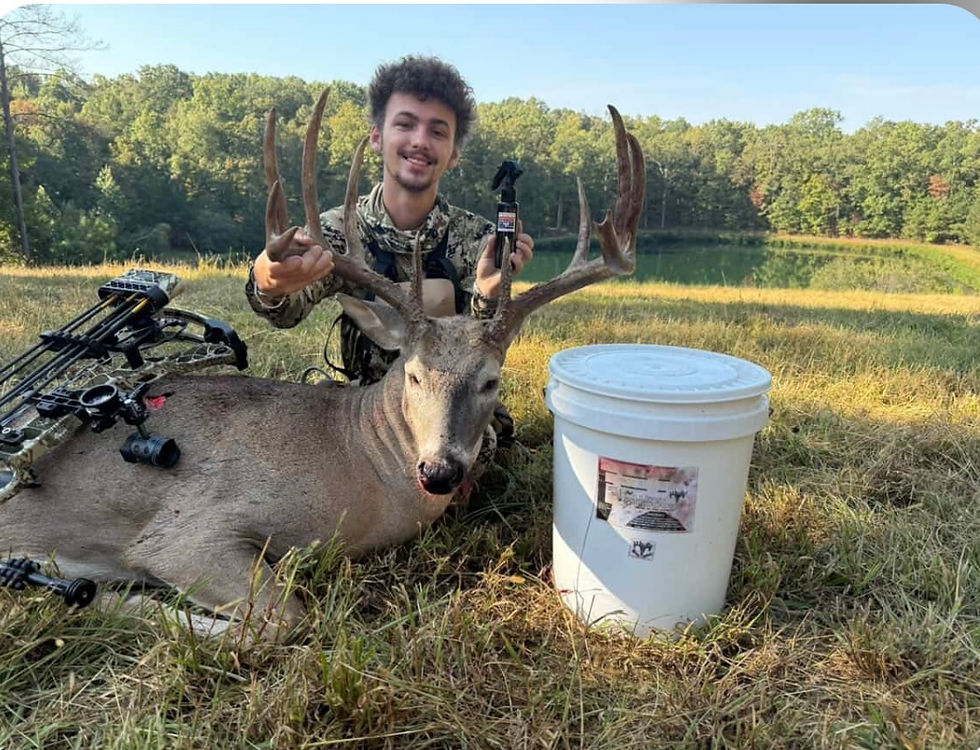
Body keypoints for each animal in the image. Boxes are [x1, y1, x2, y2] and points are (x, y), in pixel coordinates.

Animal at [0, 89, 645, 642]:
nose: (439, 471)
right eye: (413, 373)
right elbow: (284, 618)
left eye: (491, 380)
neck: (355, 454)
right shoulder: (183, 530)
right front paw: (114, 598)